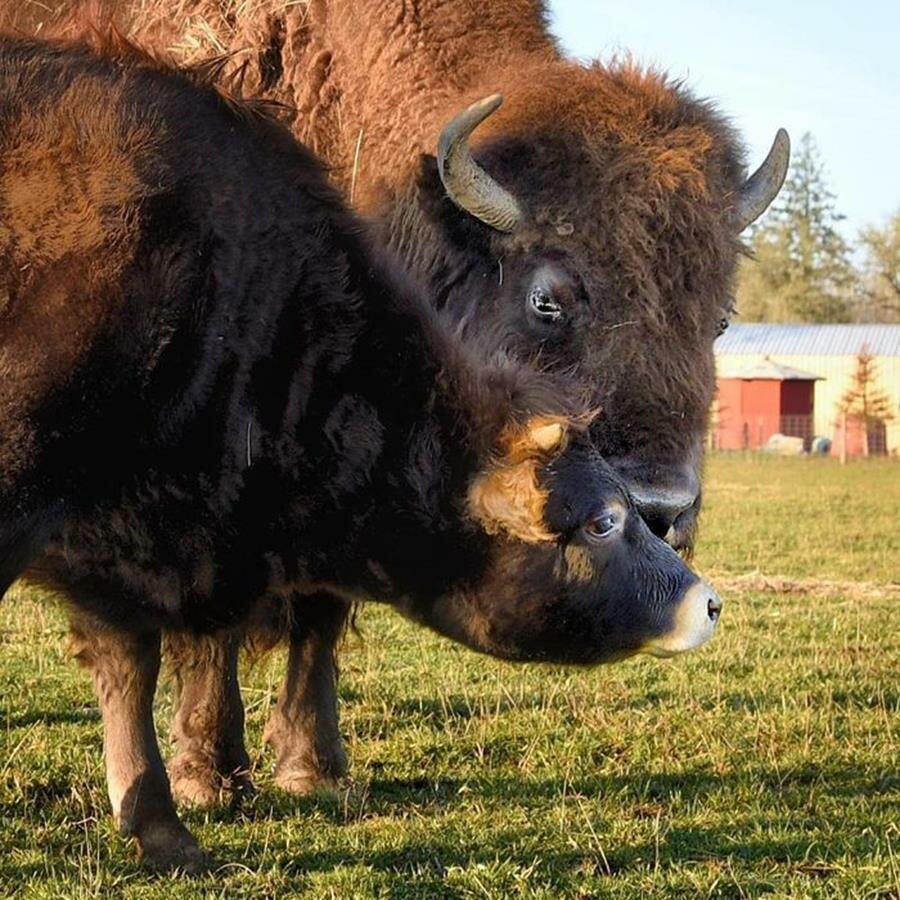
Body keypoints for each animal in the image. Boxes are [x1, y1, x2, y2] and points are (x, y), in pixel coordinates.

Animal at [1, 0, 788, 800]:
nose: (661, 508)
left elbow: (320, 608)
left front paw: (312, 767)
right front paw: (210, 774)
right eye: (547, 298)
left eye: (719, 318)